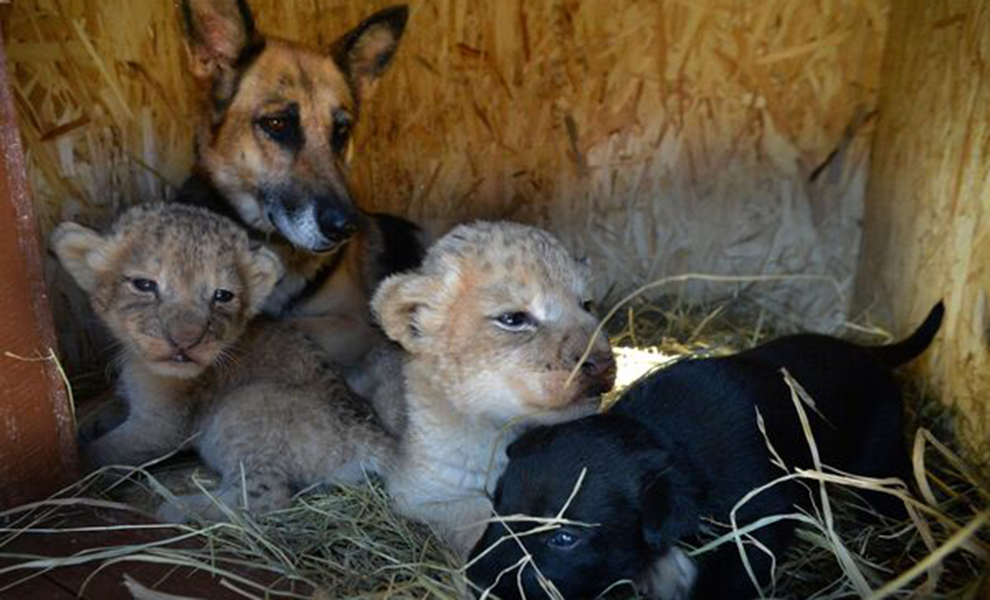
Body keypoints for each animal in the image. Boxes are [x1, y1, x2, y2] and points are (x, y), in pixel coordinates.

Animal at [466, 302, 944, 596]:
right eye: (497, 504)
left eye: (564, 538)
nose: (477, 582)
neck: (665, 436)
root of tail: (870, 352)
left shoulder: (760, 522)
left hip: (875, 454)